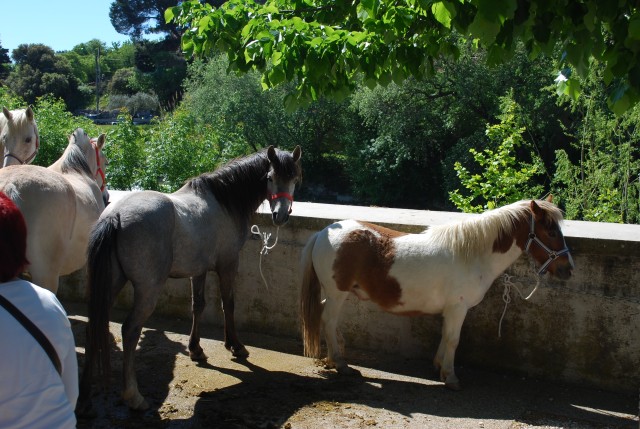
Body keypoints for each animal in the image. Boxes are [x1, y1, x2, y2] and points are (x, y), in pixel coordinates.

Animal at [77, 145, 302, 412]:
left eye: (294, 178)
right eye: (269, 177)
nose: (281, 215)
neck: (224, 200)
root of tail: (116, 216)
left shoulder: (199, 269)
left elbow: (198, 305)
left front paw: (196, 349)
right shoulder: (228, 264)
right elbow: (228, 304)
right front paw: (235, 346)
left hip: (111, 282)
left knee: (93, 326)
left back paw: (84, 396)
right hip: (147, 290)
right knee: (130, 330)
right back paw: (133, 396)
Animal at [300, 196, 576, 388]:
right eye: (551, 231)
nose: (568, 268)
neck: (473, 256)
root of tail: (323, 232)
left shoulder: (450, 310)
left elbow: (445, 336)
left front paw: (439, 366)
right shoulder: (458, 308)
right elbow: (454, 339)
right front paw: (451, 377)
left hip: (335, 294)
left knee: (328, 319)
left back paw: (335, 357)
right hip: (337, 293)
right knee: (328, 320)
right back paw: (341, 363)